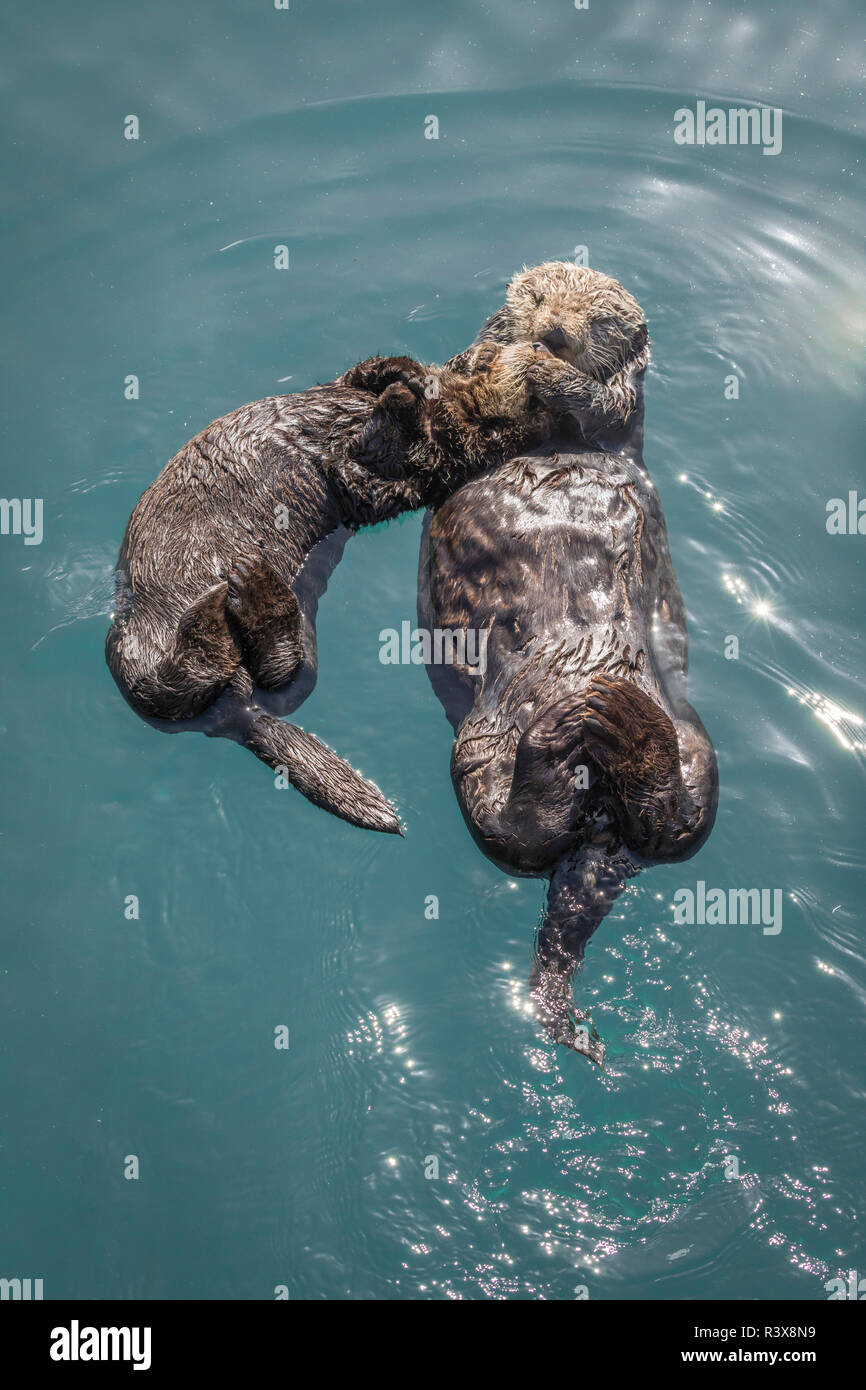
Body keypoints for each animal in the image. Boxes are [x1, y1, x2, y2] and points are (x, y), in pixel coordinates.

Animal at [105, 334, 583, 832]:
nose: (541, 353)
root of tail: (236, 710)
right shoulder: (353, 394)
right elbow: (362, 375)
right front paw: (407, 379)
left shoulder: (420, 474)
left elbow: (383, 476)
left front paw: (401, 404)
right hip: (136, 643)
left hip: (229, 651)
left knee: (254, 679)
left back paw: (246, 594)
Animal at [417, 267, 718, 1065]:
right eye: (538, 300)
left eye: (601, 320)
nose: (553, 334)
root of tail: (601, 821)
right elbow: (462, 376)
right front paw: (512, 356)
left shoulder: (621, 413)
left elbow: (604, 402)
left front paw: (550, 370)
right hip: (479, 743)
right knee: (516, 831)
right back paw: (575, 729)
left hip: (697, 746)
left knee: (676, 825)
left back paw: (618, 723)